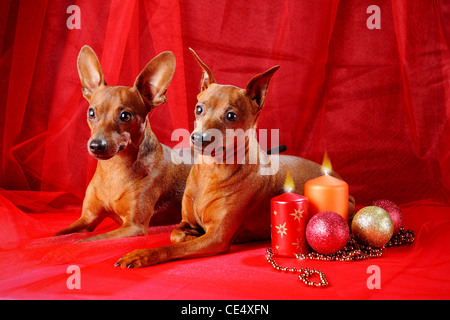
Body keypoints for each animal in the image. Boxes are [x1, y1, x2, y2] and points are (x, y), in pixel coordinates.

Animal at [53, 44, 192, 240]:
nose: (96, 145)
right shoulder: (87, 218)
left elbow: (88, 240)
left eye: (125, 116)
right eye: (91, 113)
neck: (114, 169)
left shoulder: (133, 226)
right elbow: (56, 235)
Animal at [116, 48, 356, 268]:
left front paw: (141, 255)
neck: (211, 171)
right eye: (199, 109)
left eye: (231, 116)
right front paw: (188, 235)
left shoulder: (216, 238)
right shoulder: (185, 223)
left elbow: (170, 247)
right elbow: (176, 235)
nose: (199, 138)